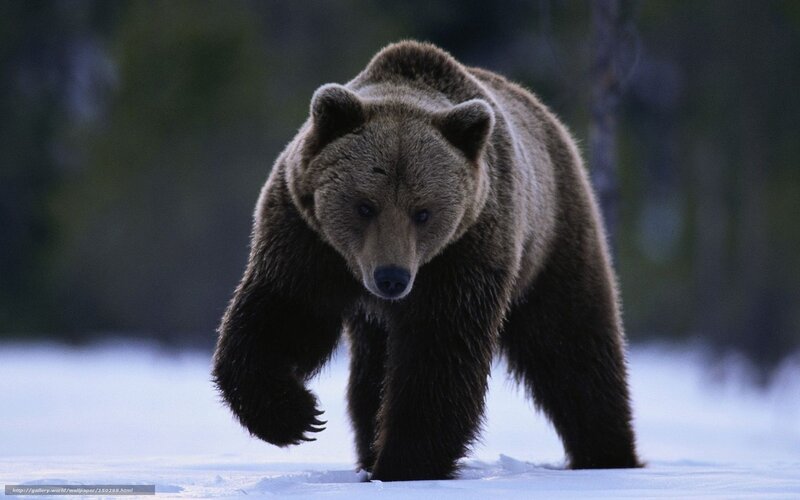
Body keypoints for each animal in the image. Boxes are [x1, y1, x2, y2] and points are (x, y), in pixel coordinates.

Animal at [212, 40, 640, 481]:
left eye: (423, 212)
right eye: (365, 205)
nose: (392, 277)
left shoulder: (465, 252)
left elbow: (439, 354)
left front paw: (404, 463)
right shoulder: (306, 238)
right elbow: (283, 314)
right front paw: (296, 416)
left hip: (552, 241)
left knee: (571, 345)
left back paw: (607, 453)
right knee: (370, 375)